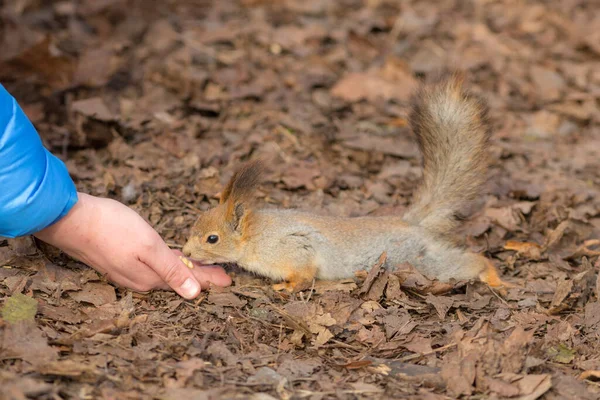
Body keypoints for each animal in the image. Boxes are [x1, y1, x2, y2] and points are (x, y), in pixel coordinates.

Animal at [182, 72, 510, 290]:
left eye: (213, 238)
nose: (185, 253)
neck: (257, 235)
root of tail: (411, 225)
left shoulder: (296, 249)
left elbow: (303, 275)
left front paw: (286, 287)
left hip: (422, 263)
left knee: (472, 262)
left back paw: (495, 278)